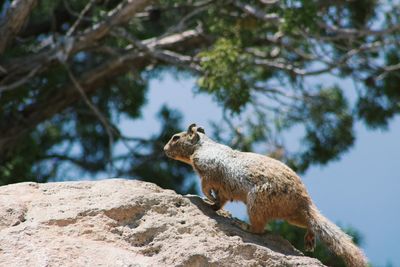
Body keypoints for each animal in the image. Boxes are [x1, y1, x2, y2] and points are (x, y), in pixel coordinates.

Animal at [164, 124, 368, 267]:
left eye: (175, 137)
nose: (164, 149)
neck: (202, 145)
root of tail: (305, 201)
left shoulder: (207, 169)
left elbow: (206, 185)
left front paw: (208, 198)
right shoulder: (222, 188)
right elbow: (221, 200)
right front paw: (213, 205)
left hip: (257, 202)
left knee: (259, 229)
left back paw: (244, 225)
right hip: (292, 216)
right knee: (308, 222)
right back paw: (309, 238)